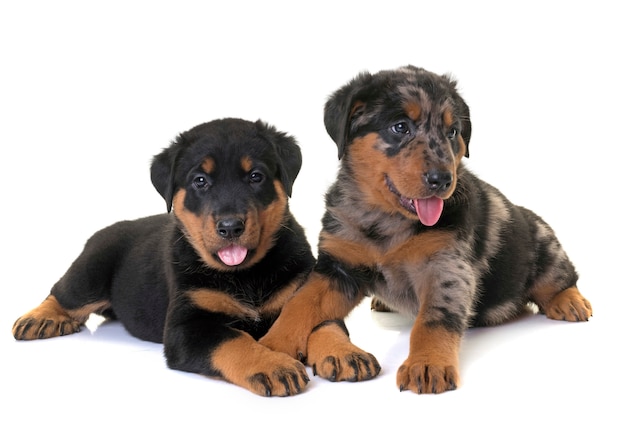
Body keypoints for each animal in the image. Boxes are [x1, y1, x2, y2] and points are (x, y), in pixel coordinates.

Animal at [13, 118, 316, 398]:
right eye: (200, 181)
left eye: (256, 176)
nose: (230, 227)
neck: (245, 274)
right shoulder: (186, 327)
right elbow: (232, 340)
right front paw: (274, 366)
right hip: (91, 270)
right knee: (63, 292)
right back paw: (40, 318)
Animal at [260, 65, 592, 394]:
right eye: (400, 127)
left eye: (452, 132)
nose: (442, 179)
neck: (386, 221)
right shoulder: (338, 267)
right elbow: (301, 304)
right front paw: (271, 348)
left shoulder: (446, 268)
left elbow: (433, 321)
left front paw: (428, 364)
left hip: (544, 244)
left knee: (561, 277)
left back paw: (570, 302)